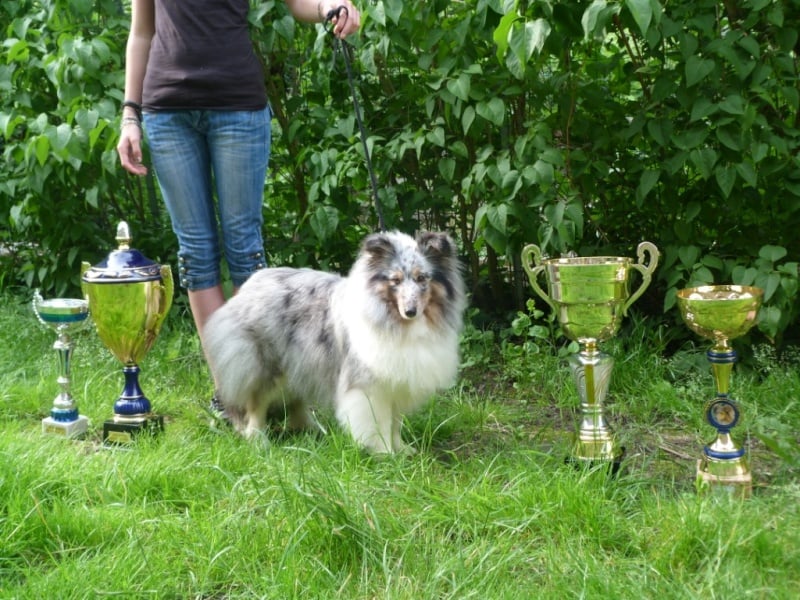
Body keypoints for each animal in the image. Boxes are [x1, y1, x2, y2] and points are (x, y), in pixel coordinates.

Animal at [203, 231, 468, 454]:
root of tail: (251, 283)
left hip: (299, 363)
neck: (396, 322)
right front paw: (385, 454)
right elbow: (379, 424)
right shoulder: (369, 387)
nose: (411, 311)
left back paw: (310, 430)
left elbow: (395, 423)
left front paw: (402, 451)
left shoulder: (396, 382)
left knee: (296, 401)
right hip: (267, 366)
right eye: (395, 280)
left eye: (422, 278)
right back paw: (259, 441)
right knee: (256, 405)